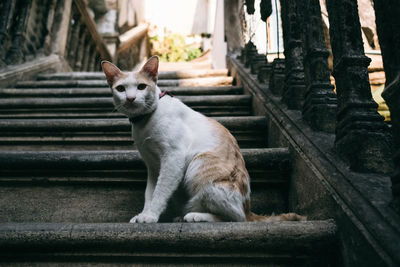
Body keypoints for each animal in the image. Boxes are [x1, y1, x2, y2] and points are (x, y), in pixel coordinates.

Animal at [101, 56, 304, 224]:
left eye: (141, 87)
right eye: (121, 89)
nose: (130, 98)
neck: (145, 121)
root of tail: (249, 209)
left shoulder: (173, 158)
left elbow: (160, 192)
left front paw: (150, 216)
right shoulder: (152, 166)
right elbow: (149, 193)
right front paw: (144, 213)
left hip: (198, 166)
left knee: (236, 218)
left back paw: (195, 216)